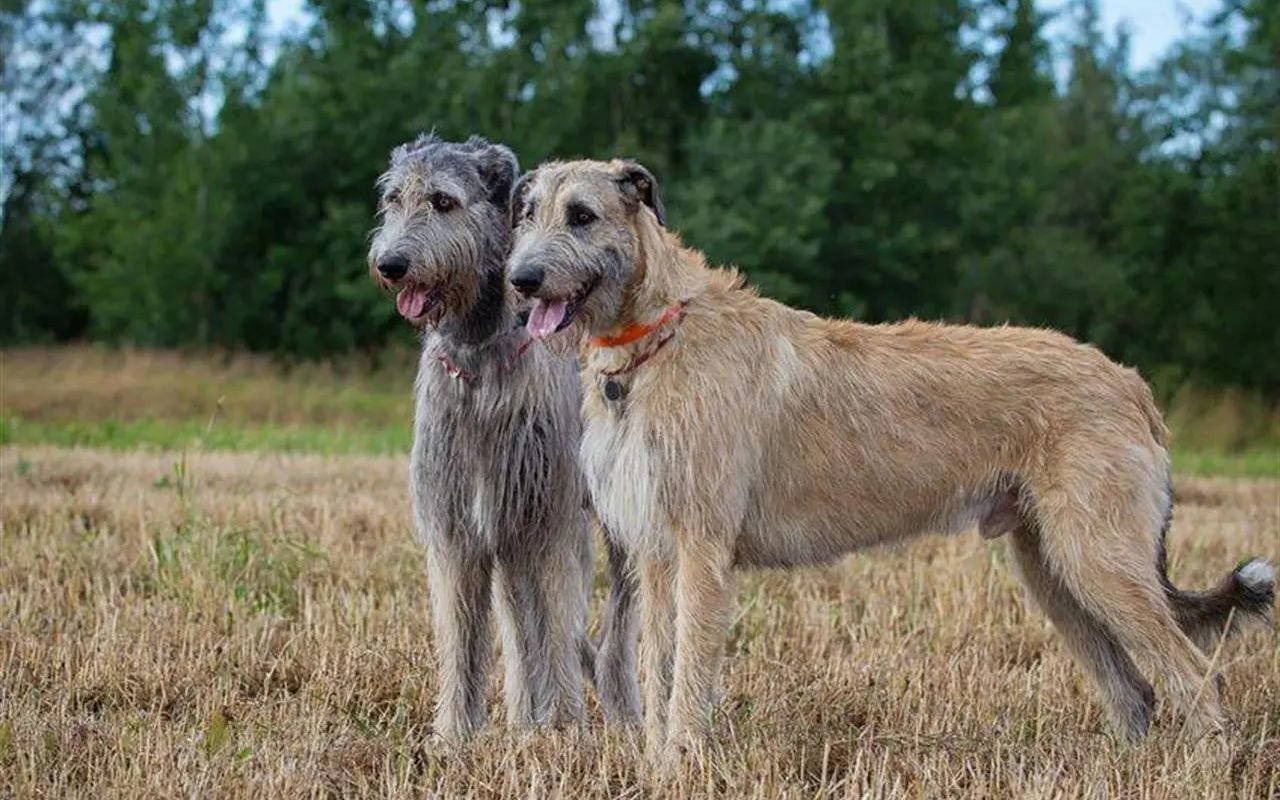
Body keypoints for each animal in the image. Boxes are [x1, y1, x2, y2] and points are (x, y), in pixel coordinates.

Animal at [366, 135, 640, 737]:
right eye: (393, 199)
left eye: (443, 201)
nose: (390, 263)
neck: (477, 358)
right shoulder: (458, 526)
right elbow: (462, 635)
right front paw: (454, 734)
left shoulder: (548, 521)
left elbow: (556, 625)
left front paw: (563, 727)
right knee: (520, 625)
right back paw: (521, 716)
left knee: (615, 623)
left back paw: (621, 710)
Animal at [504, 157, 1274, 762]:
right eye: (527, 213)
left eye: (582, 215)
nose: (520, 281)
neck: (657, 334)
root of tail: (1131, 383)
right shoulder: (660, 554)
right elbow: (659, 669)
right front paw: (661, 761)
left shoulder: (701, 548)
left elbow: (689, 670)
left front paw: (682, 763)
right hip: (1053, 569)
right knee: (1135, 689)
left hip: (1098, 557)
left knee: (1196, 670)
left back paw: (1207, 765)